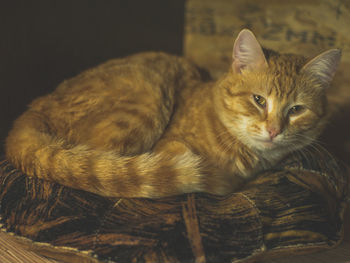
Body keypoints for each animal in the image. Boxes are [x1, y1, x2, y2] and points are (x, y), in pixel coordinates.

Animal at [4, 29, 340, 198]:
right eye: (258, 100)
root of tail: (33, 111)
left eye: (296, 110)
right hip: (146, 95)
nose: (273, 130)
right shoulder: (170, 148)